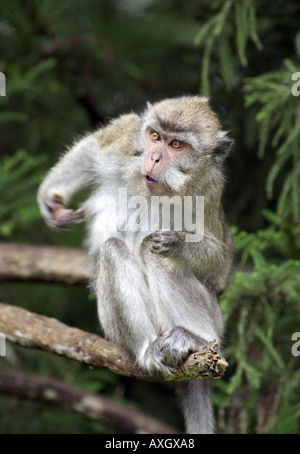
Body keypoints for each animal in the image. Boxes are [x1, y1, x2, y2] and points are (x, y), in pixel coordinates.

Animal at [37, 96, 233, 432]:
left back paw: (194, 339)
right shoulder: (128, 140)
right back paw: (146, 349)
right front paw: (50, 199)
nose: (153, 157)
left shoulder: (209, 191)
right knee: (113, 250)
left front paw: (177, 242)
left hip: (214, 321)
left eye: (176, 145)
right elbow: (93, 147)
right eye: (154, 136)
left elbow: (218, 260)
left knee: (155, 255)